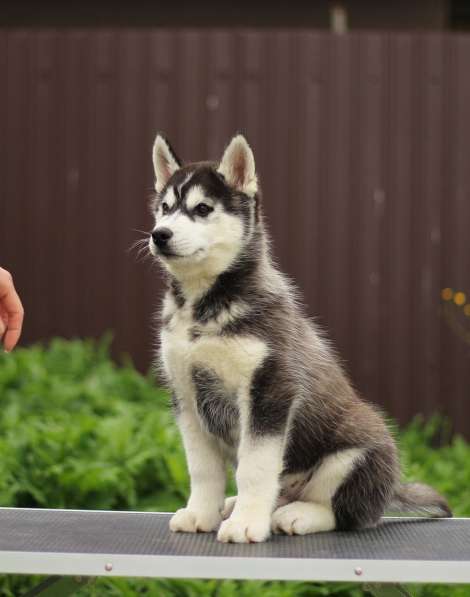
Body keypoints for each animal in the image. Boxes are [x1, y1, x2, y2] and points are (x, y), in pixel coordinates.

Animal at [148, 133, 452, 544]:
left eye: (202, 208)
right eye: (164, 209)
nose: (159, 235)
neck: (202, 307)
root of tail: (391, 489)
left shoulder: (270, 390)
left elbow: (254, 467)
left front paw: (247, 524)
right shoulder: (186, 395)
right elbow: (203, 468)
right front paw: (201, 513)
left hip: (357, 450)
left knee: (347, 513)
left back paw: (296, 515)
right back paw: (238, 505)